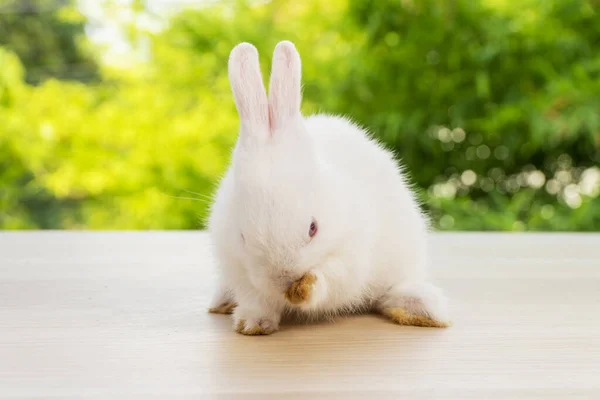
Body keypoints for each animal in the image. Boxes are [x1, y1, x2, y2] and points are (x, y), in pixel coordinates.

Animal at [209, 40, 448, 334]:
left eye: (313, 228)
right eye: (243, 237)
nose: (283, 278)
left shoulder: (351, 255)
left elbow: (332, 280)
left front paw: (307, 289)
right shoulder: (236, 265)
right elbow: (255, 297)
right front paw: (253, 323)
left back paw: (423, 310)